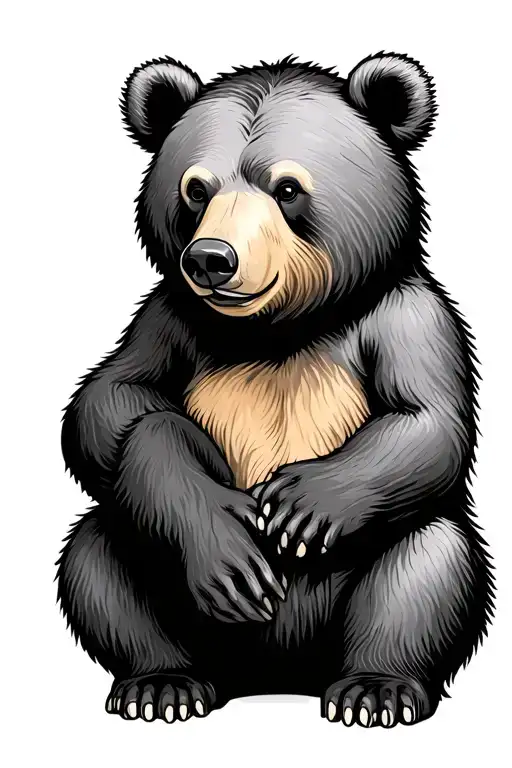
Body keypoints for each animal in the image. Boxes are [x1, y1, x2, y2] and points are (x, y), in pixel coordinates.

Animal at [57, 52, 494, 728]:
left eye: (286, 188)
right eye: (196, 189)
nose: (211, 258)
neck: (281, 330)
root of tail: (275, 676)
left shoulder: (405, 316)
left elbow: (428, 421)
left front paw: (302, 502)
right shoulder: (170, 319)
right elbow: (112, 404)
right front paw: (223, 533)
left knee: (429, 558)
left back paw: (375, 688)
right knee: (101, 552)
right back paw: (163, 683)